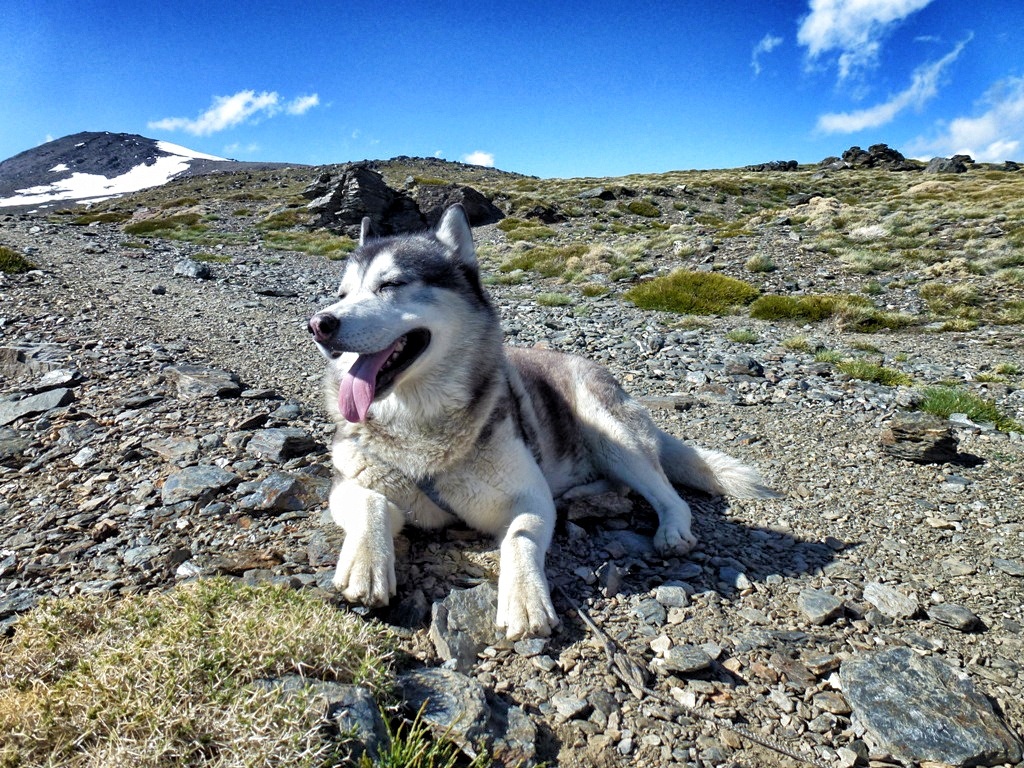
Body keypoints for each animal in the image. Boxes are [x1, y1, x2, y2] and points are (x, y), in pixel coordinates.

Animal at [307, 202, 770, 638]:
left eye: (392, 285)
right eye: (343, 293)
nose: (319, 324)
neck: (418, 422)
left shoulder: (526, 497)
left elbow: (520, 539)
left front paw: (525, 599)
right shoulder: (350, 482)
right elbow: (370, 504)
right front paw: (365, 565)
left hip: (609, 431)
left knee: (665, 493)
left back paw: (670, 530)